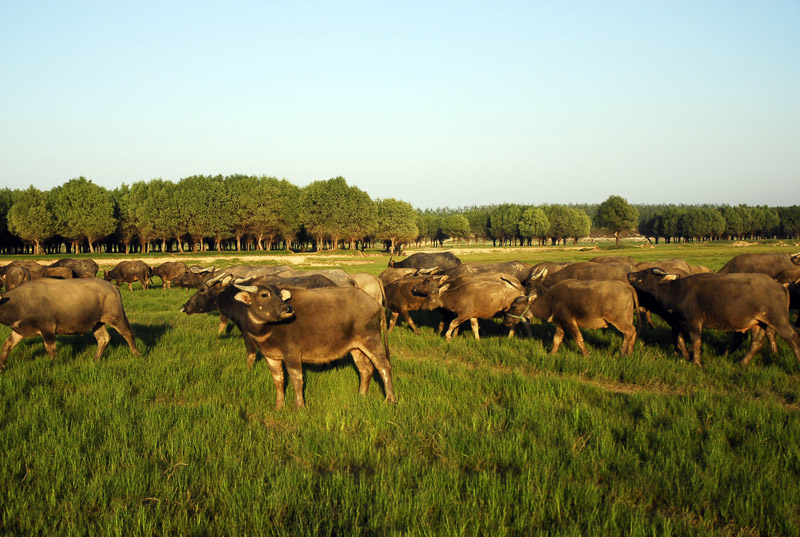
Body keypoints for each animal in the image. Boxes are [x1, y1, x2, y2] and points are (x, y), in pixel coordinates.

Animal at [0, 276, 140, 368]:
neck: (19, 303)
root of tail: (113, 287)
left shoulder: (47, 328)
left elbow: (50, 348)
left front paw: (53, 364)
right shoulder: (19, 330)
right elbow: (8, 344)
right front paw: (2, 365)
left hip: (115, 317)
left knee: (127, 333)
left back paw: (135, 353)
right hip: (97, 323)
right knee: (103, 338)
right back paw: (95, 359)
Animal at [228, 282, 396, 408]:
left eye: (280, 295)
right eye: (264, 294)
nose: (287, 308)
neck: (270, 329)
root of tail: (376, 304)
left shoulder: (292, 353)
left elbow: (296, 380)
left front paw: (299, 406)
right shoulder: (271, 357)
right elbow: (278, 381)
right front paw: (279, 406)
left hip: (371, 339)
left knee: (383, 366)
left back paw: (390, 399)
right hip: (356, 347)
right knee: (365, 369)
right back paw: (361, 394)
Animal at [506, 278, 636, 358]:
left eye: (514, 306)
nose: (506, 321)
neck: (551, 300)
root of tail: (627, 286)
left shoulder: (569, 321)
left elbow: (578, 338)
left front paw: (586, 355)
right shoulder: (560, 323)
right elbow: (557, 339)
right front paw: (552, 353)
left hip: (618, 319)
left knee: (629, 332)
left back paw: (622, 353)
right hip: (628, 317)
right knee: (634, 331)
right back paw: (629, 353)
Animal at [624, 266, 800, 366]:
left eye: (645, 272)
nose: (629, 273)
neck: (677, 291)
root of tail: (780, 286)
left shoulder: (694, 322)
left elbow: (696, 341)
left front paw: (696, 362)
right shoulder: (678, 323)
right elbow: (679, 340)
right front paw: (686, 356)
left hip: (778, 319)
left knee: (792, 337)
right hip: (757, 322)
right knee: (757, 342)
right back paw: (742, 362)